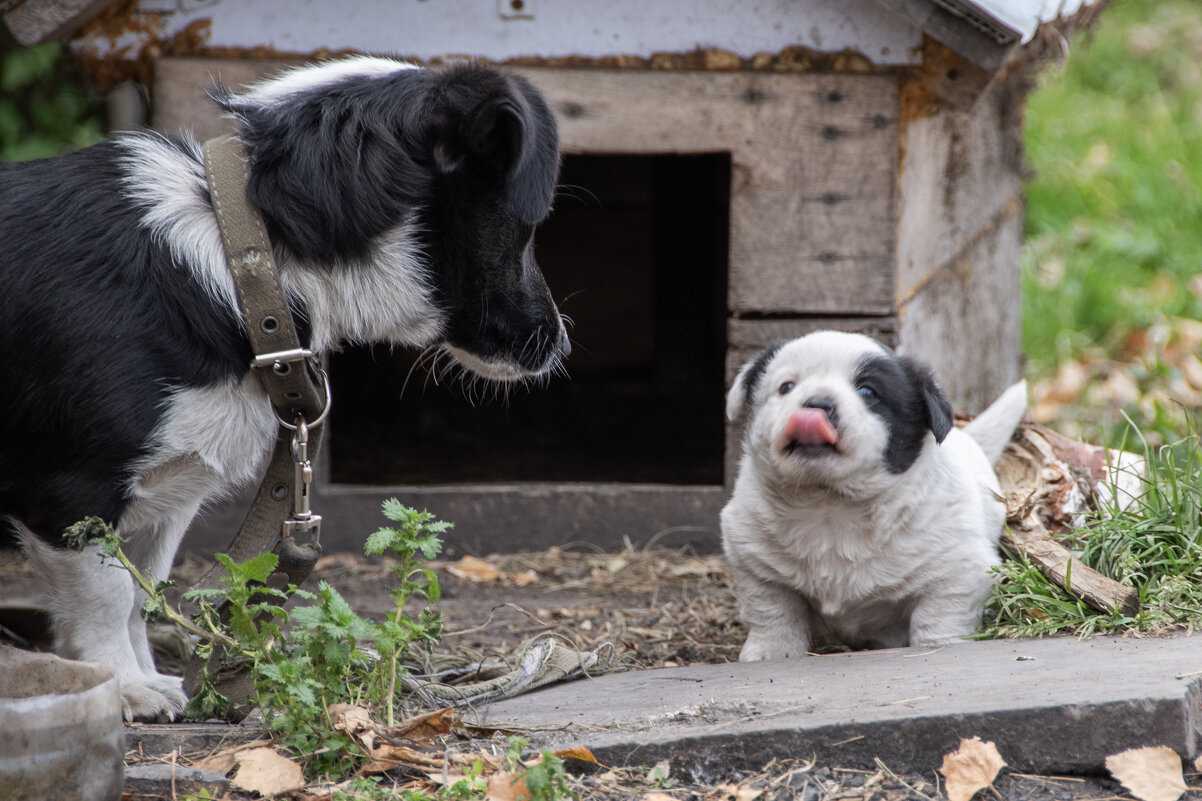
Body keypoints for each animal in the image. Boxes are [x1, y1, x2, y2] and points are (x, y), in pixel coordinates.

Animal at [0, 56, 569, 716]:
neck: (245, 253)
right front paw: (127, 688)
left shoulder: (163, 501)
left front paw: (153, 680)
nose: (561, 345)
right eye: (526, 229)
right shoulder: (74, 495)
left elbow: (144, 593)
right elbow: (108, 600)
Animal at [716, 327, 1028, 659]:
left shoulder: (959, 571)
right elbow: (772, 609)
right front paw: (773, 652)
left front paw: (937, 646)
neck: (828, 503)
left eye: (867, 392)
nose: (817, 404)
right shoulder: (753, 559)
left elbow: (939, 616)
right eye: (787, 387)